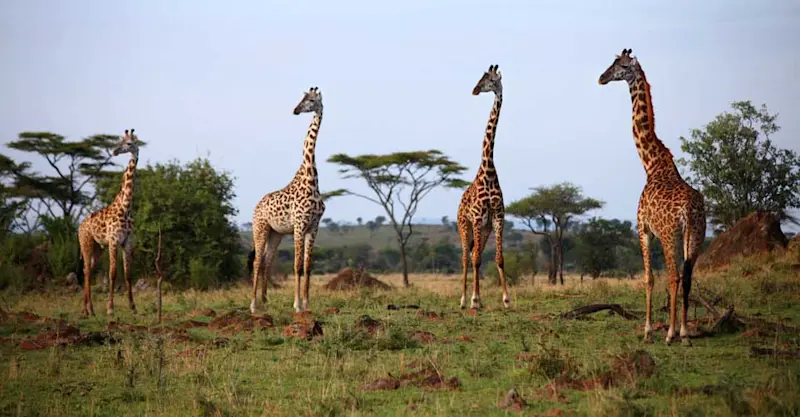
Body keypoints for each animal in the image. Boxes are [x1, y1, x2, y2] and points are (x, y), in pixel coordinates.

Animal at [77, 129, 140, 317]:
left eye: (129, 143)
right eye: (119, 141)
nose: (114, 151)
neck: (125, 208)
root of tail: (79, 226)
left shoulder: (127, 242)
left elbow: (128, 274)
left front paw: (133, 307)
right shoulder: (113, 241)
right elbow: (112, 273)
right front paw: (110, 308)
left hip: (98, 248)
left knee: (87, 270)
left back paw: (88, 309)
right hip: (86, 243)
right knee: (87, 270)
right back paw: (88, 310)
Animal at [250, 87, 325, 314]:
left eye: (311, 100)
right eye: (302, 98)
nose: (295, 110)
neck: (311, 178)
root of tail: (256, 206)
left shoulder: (313, 226)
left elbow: (307, 266)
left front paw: (307, 304)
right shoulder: (299, 225)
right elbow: (297, 266)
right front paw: (297, 305)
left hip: (276, 234)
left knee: (266, 262)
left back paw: (265, 302)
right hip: (260, 228)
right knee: (257, 261)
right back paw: (253, 305)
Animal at [599, 49, 706, 345]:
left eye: (621, 65)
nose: (602, 77)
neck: (651, 163)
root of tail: (689, 211)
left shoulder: (643, 228)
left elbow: (648, 278)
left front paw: (647, 331)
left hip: (671, 236)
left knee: (674, 276)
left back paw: (671, 334)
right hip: (696, 236)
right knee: (688, 276)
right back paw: (685, 333)